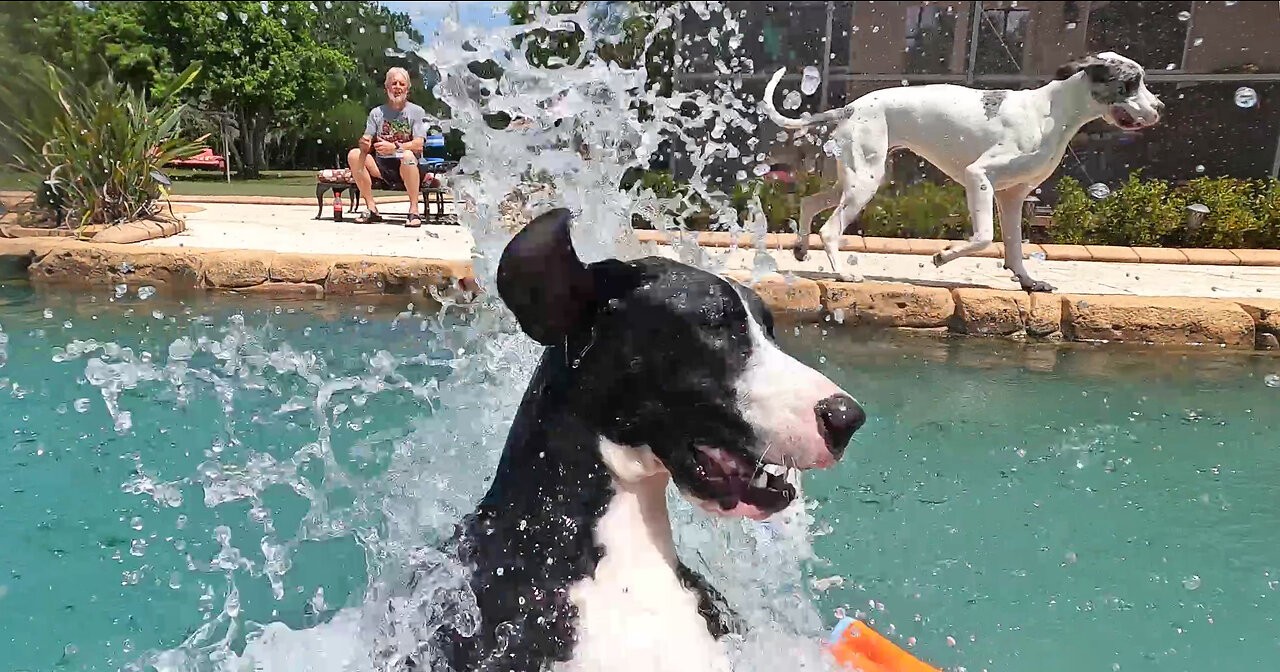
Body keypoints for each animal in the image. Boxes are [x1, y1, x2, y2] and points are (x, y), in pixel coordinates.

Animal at [762, 52, 1167, 290]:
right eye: (1131, 83)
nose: (1161, 108)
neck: (1052, 113)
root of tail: (851, 107)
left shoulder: (1013, 197)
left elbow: (1015, 247)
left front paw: (1028, 282)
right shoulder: (979, 178)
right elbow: (984, 237)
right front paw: (943, 255)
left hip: (856, 179)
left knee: (810, 203)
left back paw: (801, 248)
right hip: (864, 183)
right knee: (830, 229)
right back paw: (843, 273)